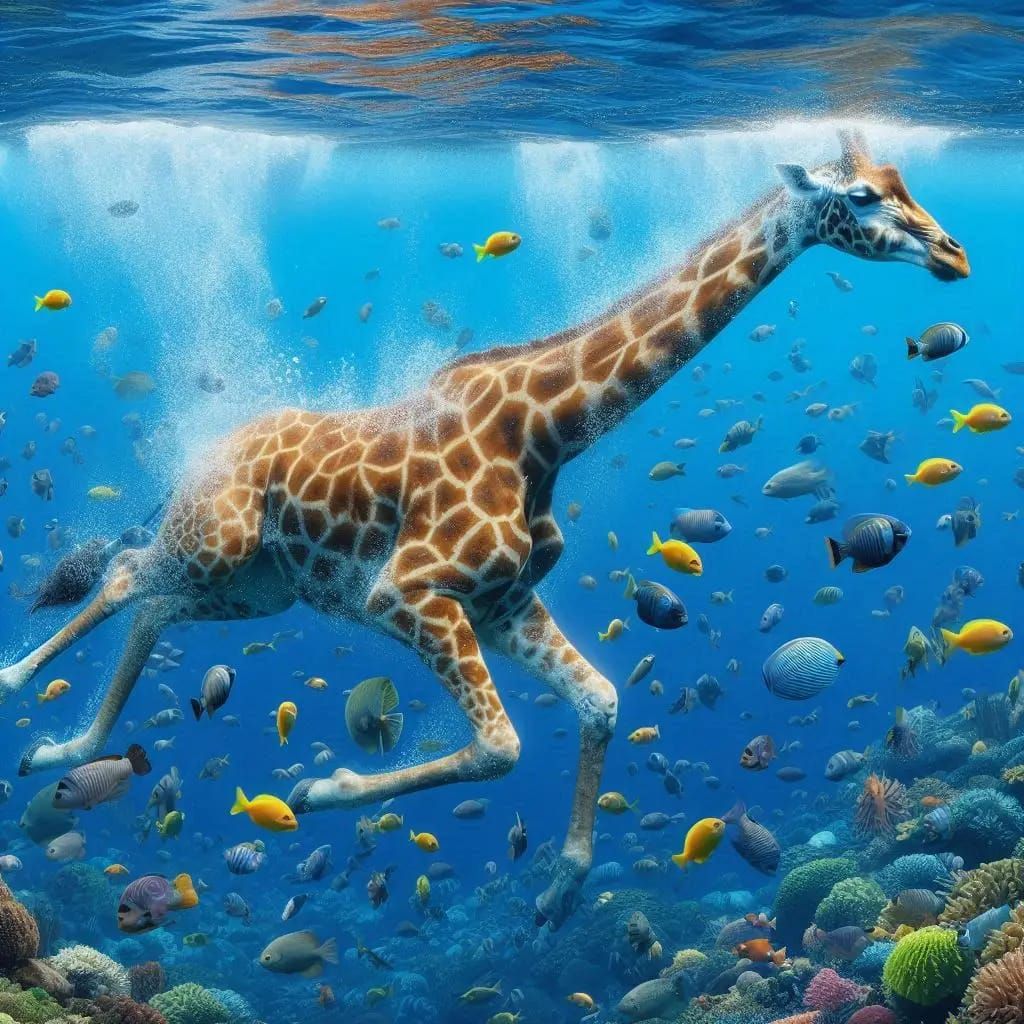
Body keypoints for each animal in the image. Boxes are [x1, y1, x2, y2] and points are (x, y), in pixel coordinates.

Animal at [0, 130, 967, 929]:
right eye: (864, 197)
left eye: (904, 181)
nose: (954, 252)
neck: (546, 432)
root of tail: (205, 454)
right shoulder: (406, 590)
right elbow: (501, 744)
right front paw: (322, 786)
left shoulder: (502, 601)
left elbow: (600, 700)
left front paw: (558, 890)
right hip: (221, 541)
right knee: (127, 572)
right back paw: (27, 700)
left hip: (257, 586)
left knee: (153, 603)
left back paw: (67, 747)